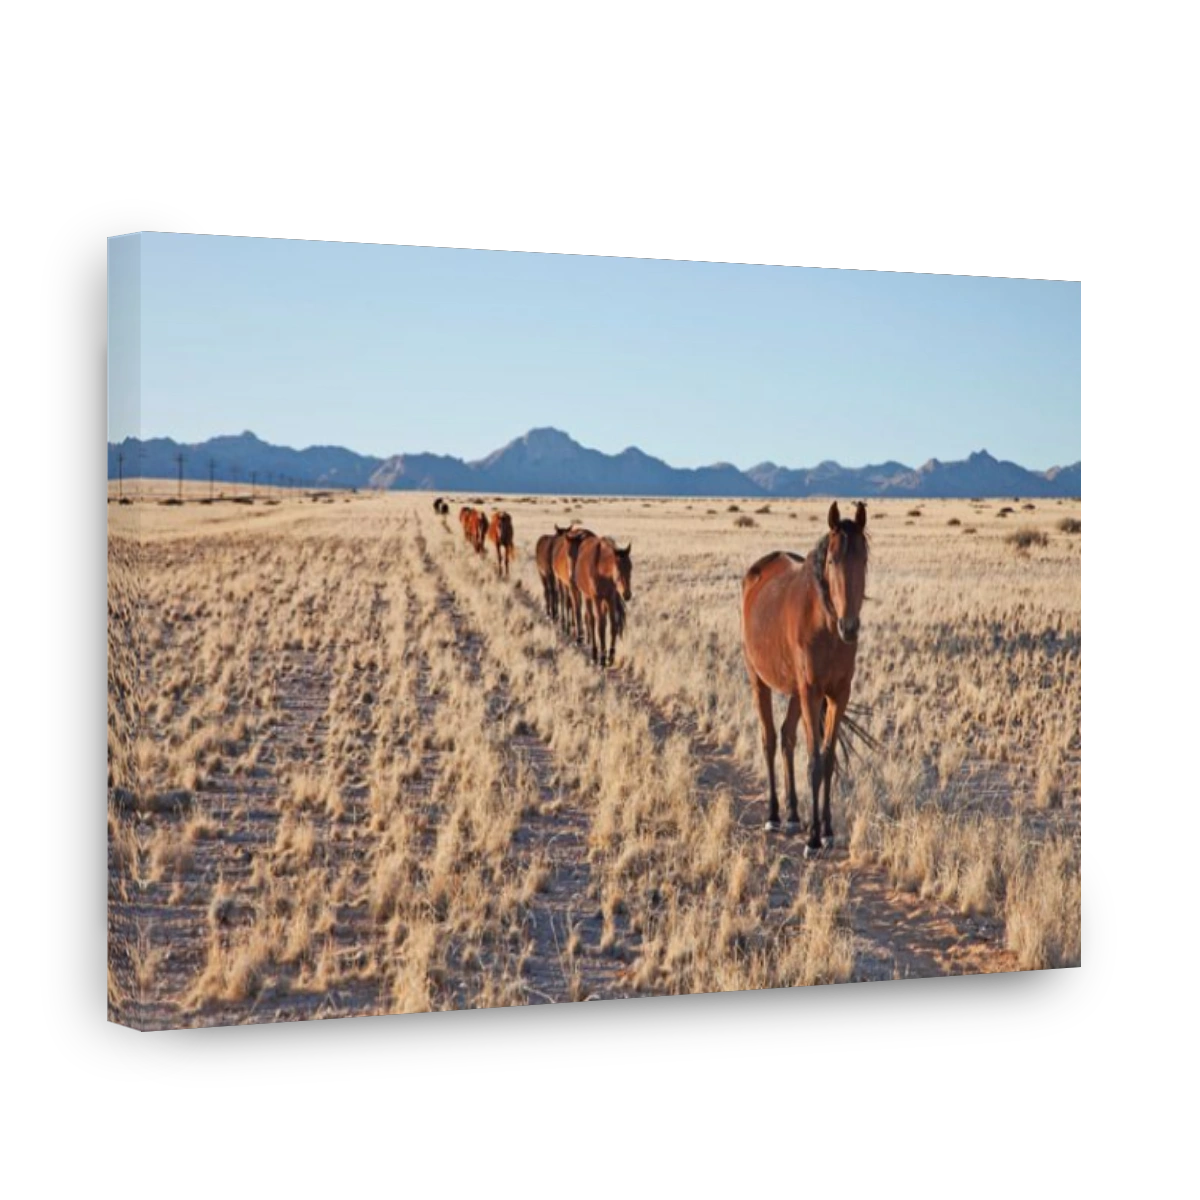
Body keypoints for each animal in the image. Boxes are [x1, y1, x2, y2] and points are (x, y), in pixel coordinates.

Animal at [573, 536, 632, 667]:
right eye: (618, 569)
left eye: (631, 568)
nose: (627, 594)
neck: (601, 569)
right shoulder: (597, 598)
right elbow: (600, 626)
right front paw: (602, 658)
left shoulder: (610, 598)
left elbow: (613, 624)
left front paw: (611, 655)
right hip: (588, 597)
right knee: (591, 620)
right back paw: (595, 653)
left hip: (604, 602)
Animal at [740, 501, 870, 853]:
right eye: (832, 560)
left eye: (864, 560)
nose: (849, 627)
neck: (825, 625)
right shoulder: (812, 692)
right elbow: (813, 761)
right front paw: (813, 839)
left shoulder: (838, 694)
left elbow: (827, 758)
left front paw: (825, 829)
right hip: (760, 681)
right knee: (770, 739)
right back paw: (774, 815)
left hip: (797, 692)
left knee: (786, 737)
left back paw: (794, 815)